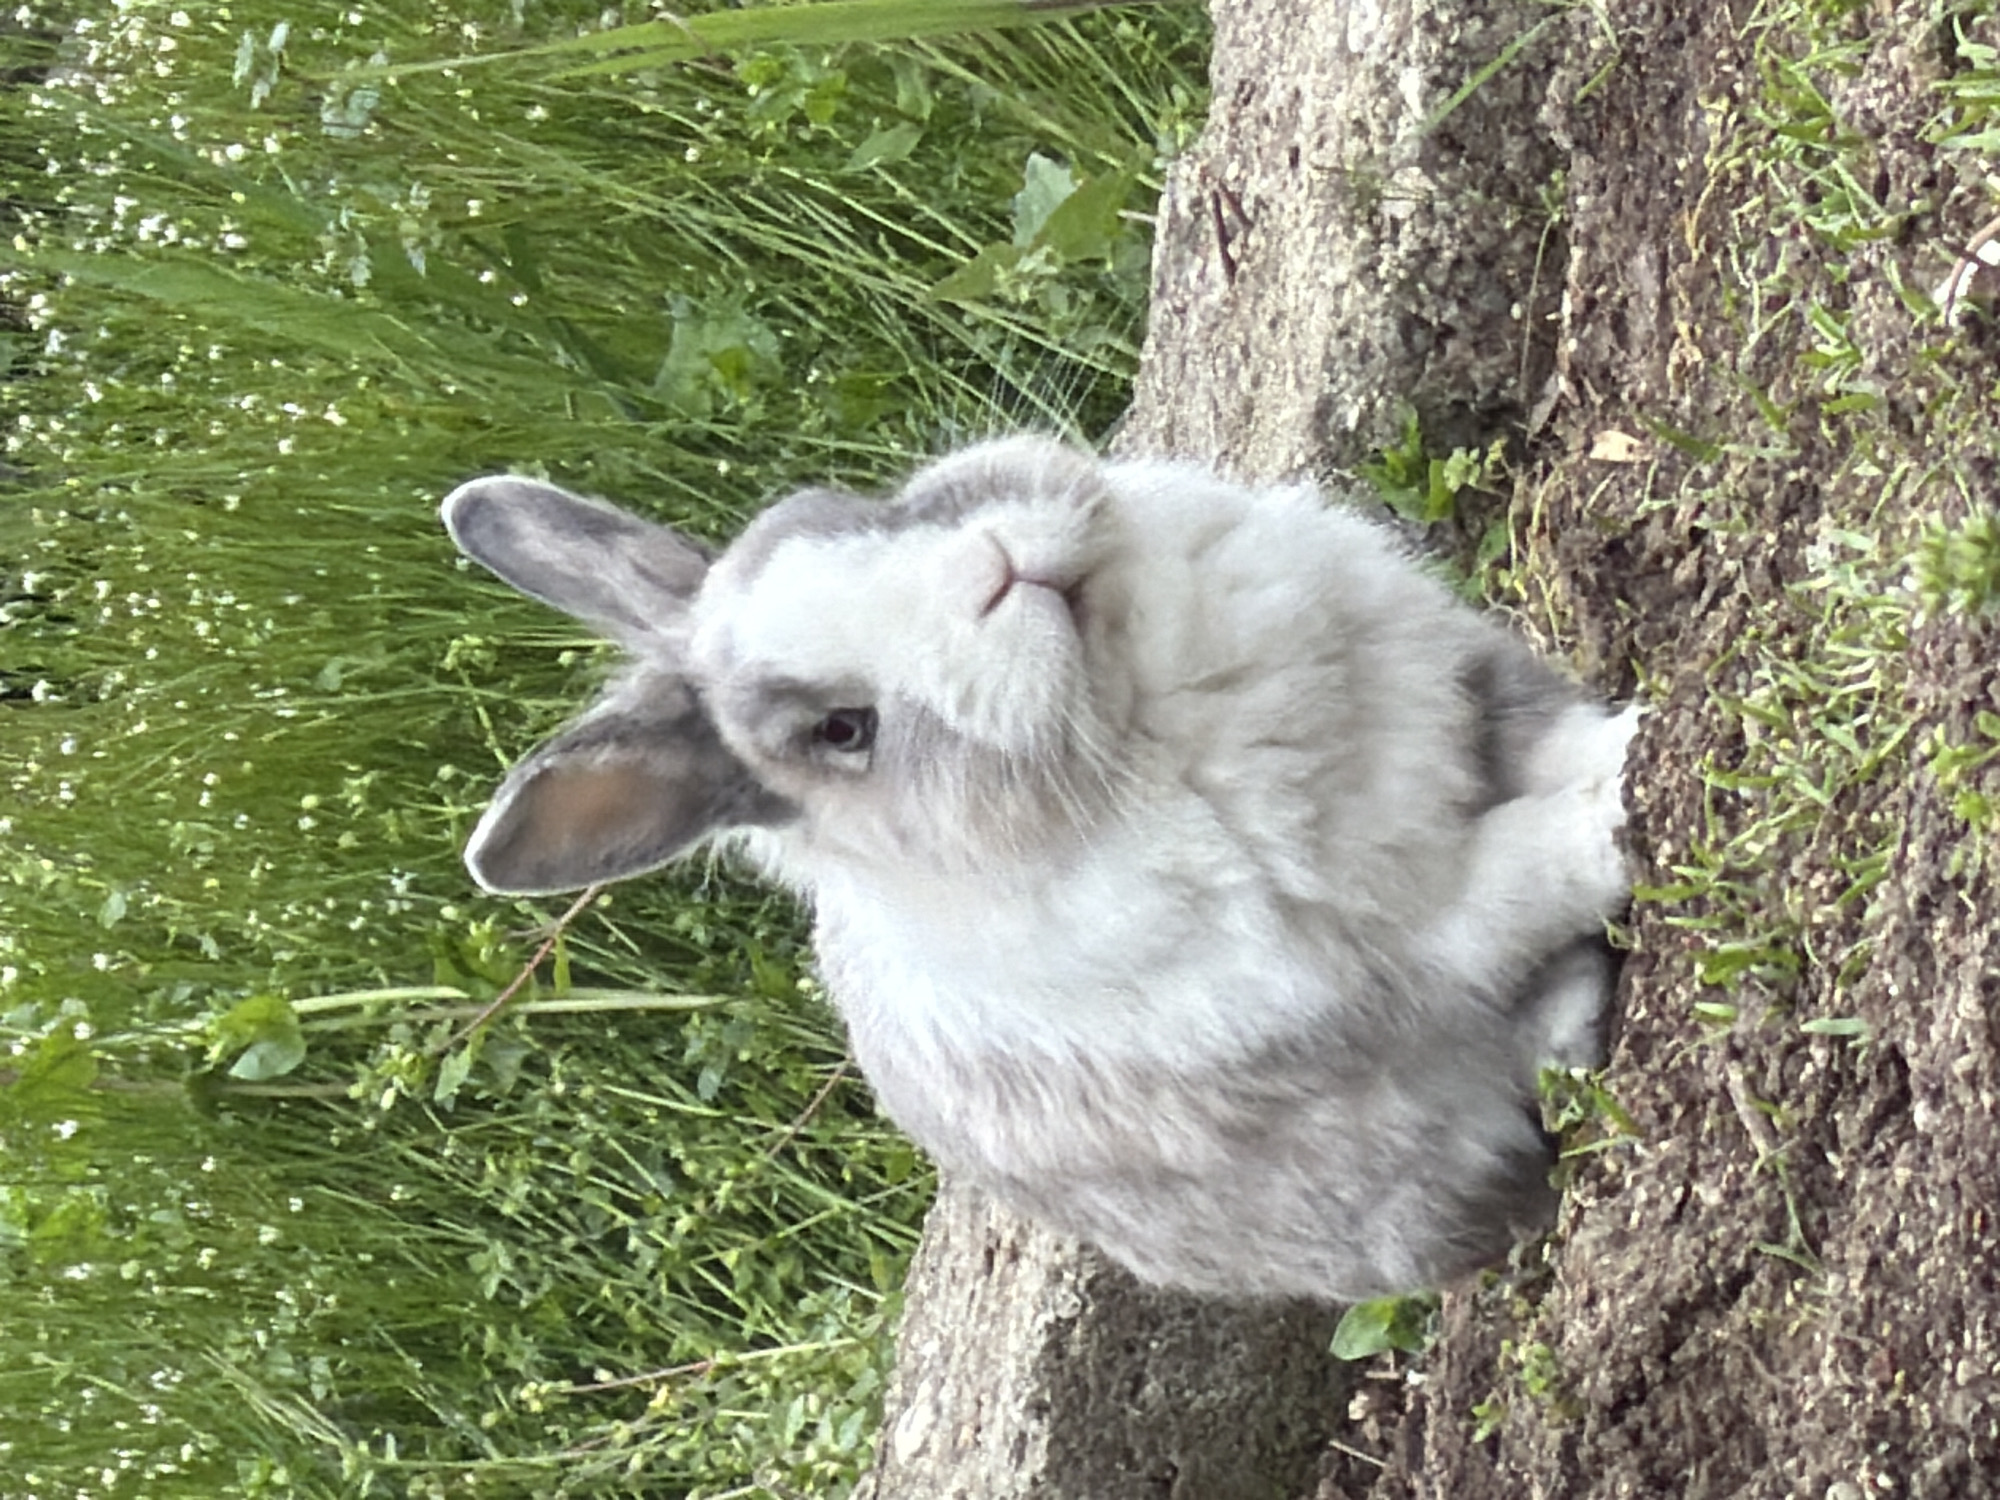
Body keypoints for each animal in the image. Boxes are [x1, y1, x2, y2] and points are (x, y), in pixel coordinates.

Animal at [441, 435, 1638, 1303]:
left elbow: (1548, 742)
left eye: (848, 513)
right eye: (842, 729)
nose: (994, 570)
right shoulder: (1405, 943)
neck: (1136, 708)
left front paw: (1622, 739)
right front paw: (1628, 792)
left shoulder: (1460, 694)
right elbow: (1523, 873)